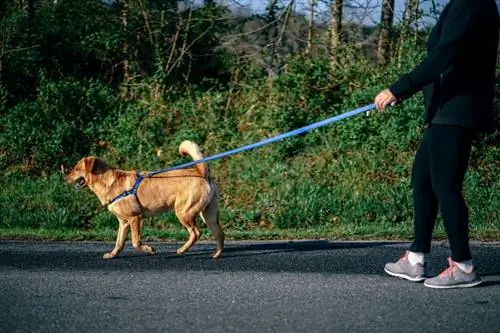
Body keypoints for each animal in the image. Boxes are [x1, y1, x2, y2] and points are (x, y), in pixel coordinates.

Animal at [66, 140, 225, 260]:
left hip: (183, 212)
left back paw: (182, 250)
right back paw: (217, 254)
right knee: (219, 233)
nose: (65, 177)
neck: (108, 182)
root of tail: (200, 172)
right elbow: (119, 242)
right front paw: (112, 254)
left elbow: (135, 242)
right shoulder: (123, 222)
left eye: (76, 169)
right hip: (208, 216)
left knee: (196, 233)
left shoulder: (135, 218)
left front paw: (149, 249)